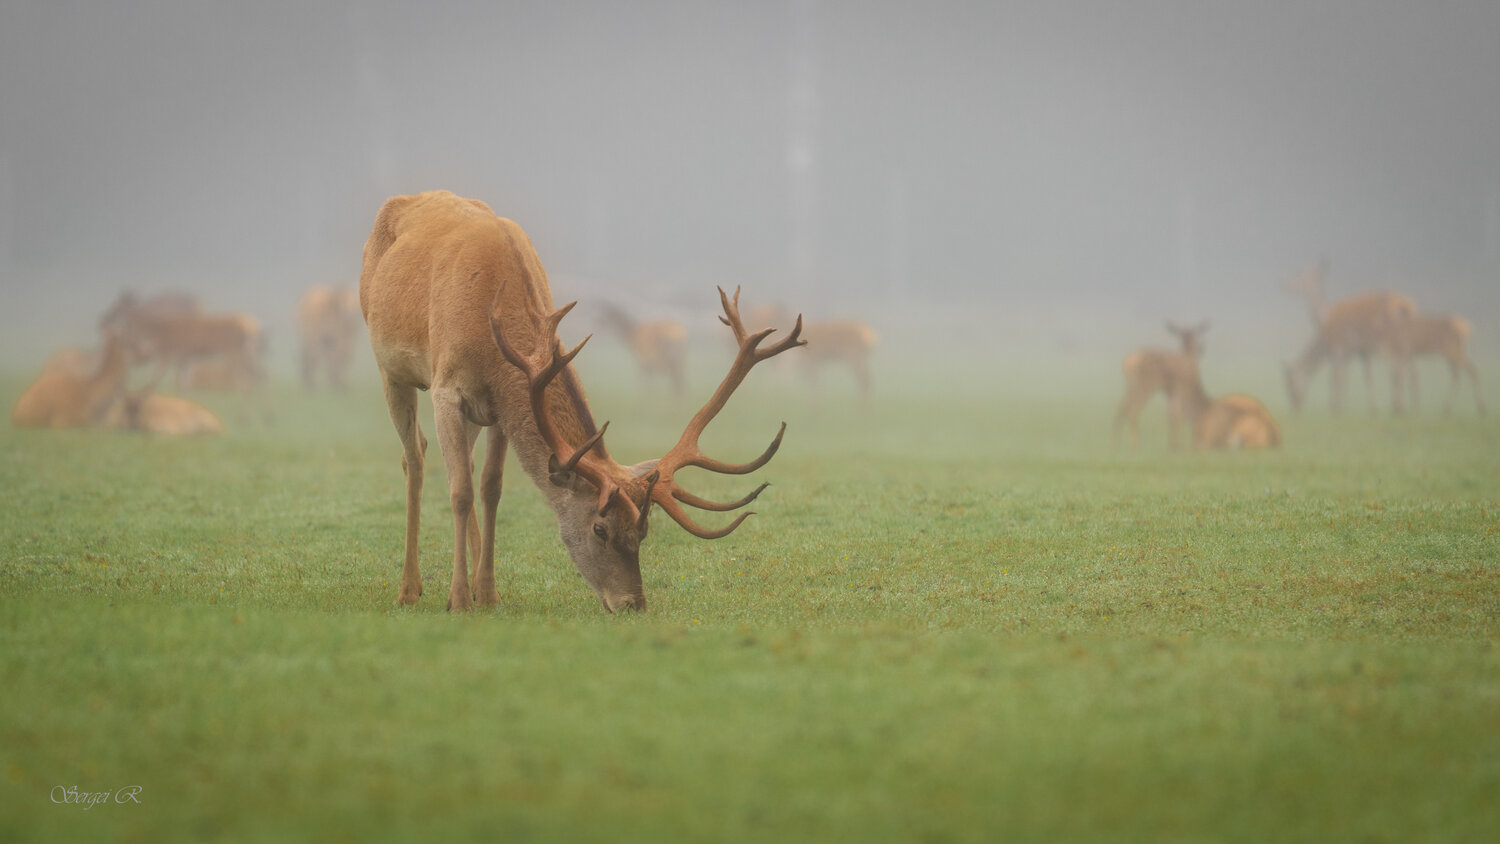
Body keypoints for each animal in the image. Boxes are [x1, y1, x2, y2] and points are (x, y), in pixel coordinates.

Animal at [359, 190, 804, 613]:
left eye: (643, 530)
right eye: (599, 528)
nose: (632, 604)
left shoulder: (498, 406)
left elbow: (490, 487)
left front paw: (488, 595)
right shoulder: (447, 388)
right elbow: (460, 493)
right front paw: (460, 600)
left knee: (460, 464)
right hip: (389, 369)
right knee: (415, 458)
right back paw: (409, 589)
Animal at [1112, 321, 1209, 450]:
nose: (1201, 348)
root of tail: (1129, 363)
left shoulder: (1170, 392)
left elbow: (1171, 414)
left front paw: (1172, 444)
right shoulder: (1182, 388)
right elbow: (1179, 414)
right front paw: (1179, 445)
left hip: (1130, 387)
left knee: (1121, 408)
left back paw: (1115, 446)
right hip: (1145, 385)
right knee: (1132, 411)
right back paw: (1135, 446)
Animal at [1282, 260, 1416, 414]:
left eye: (1290, 387)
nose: (1284, 284)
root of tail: (1406, 307)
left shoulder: (1339, 348)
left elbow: (1336, 377)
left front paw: (1336, 407)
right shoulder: (1359, 352)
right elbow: (1361, 377)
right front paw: (1370, 408)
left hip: (1386, 342)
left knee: (1397, 368)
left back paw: (1398, 407)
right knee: (1410, 370)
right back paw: (1410, 406)